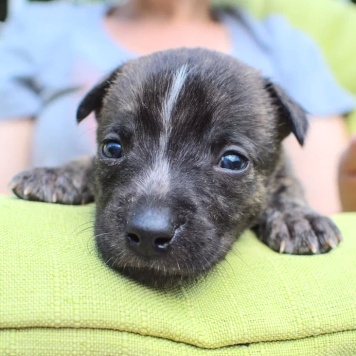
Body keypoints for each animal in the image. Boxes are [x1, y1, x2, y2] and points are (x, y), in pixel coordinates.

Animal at [9, 48, 340, 286]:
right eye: (112, 148)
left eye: (233, 161)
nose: (147, 233)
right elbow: (85, 161)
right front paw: (57, 175)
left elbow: (287, 184)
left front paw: (297, 217)